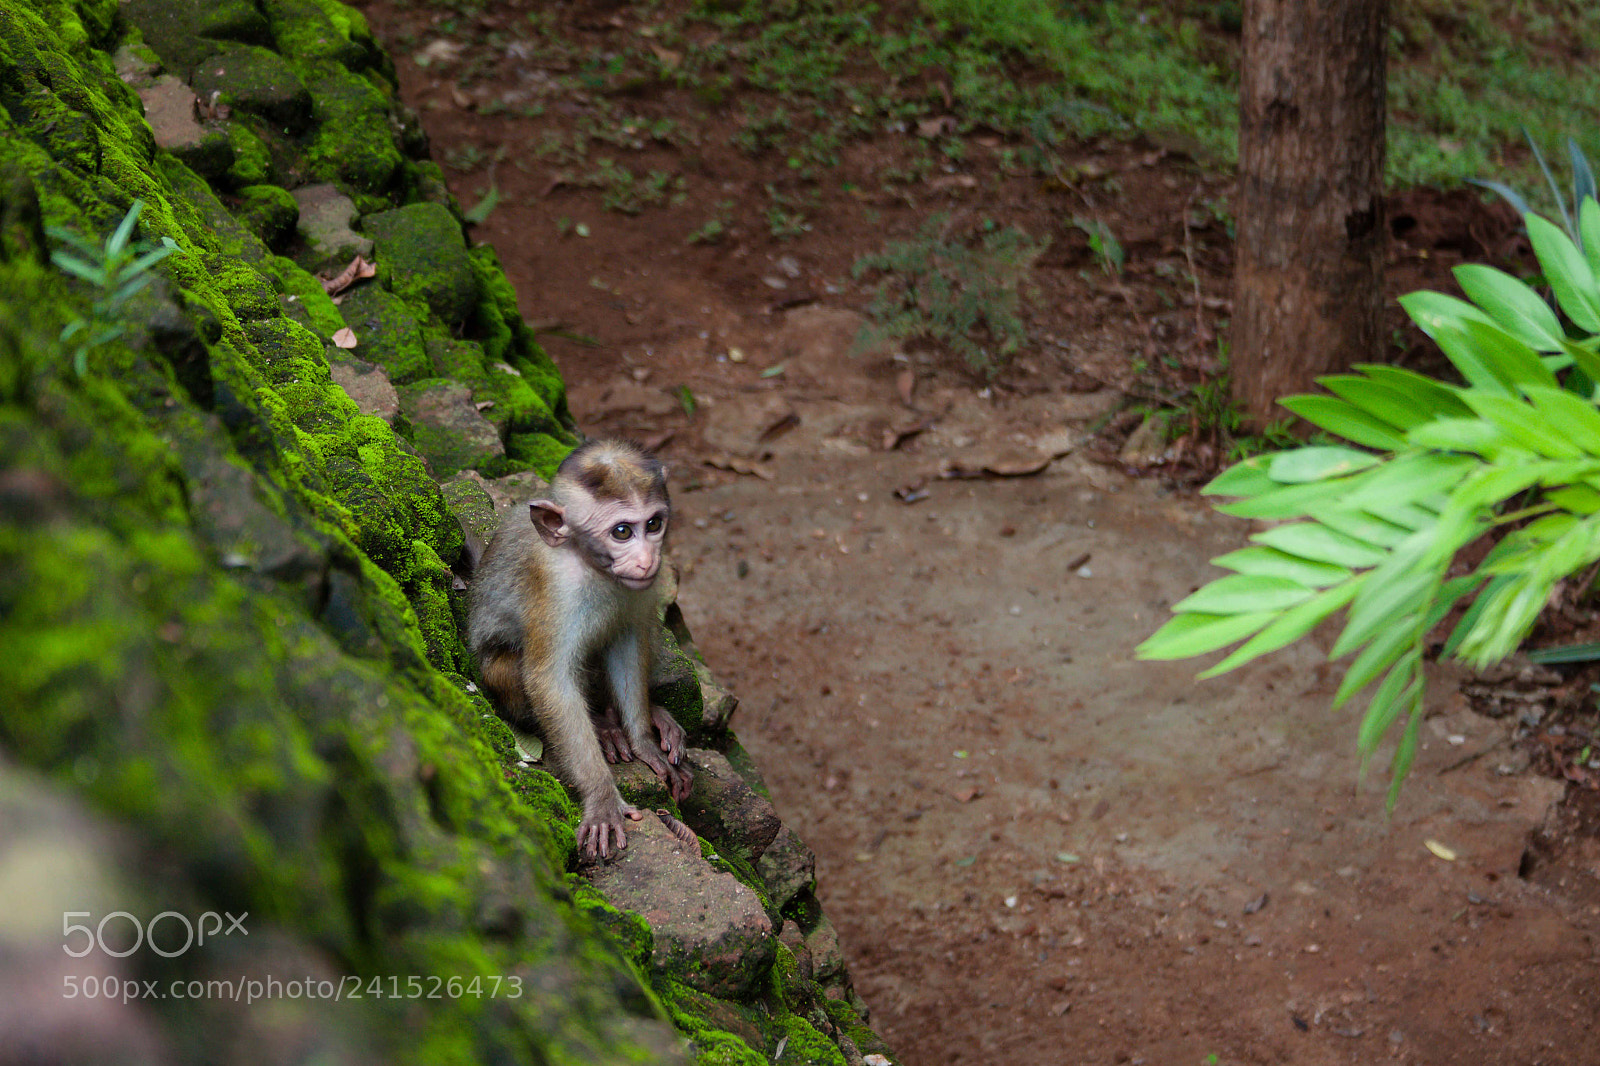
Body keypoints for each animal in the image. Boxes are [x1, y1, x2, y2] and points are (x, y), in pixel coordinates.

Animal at [468, 439, 692, 858]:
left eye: (654, 524)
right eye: (622, 531)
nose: (647, 560)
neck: (589, 563)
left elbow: (629, 640)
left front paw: (644, 741)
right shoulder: (554, 586)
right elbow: (550, 681)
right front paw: (602, 796)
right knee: (509, 667)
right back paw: (604, 727)